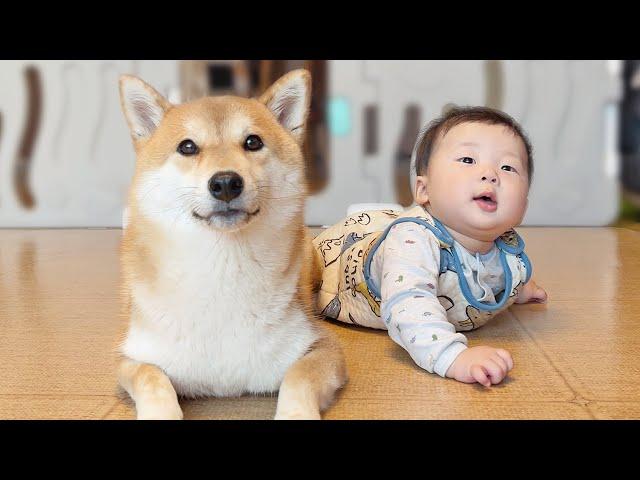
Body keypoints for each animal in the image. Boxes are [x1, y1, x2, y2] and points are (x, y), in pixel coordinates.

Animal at [115, 69, 344, 418]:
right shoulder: (132, 357)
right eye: (187, 147)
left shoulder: (321, 346)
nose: (225, 183)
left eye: (253, 142)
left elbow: (298, 378)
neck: (222, 271)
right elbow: (151, 377)